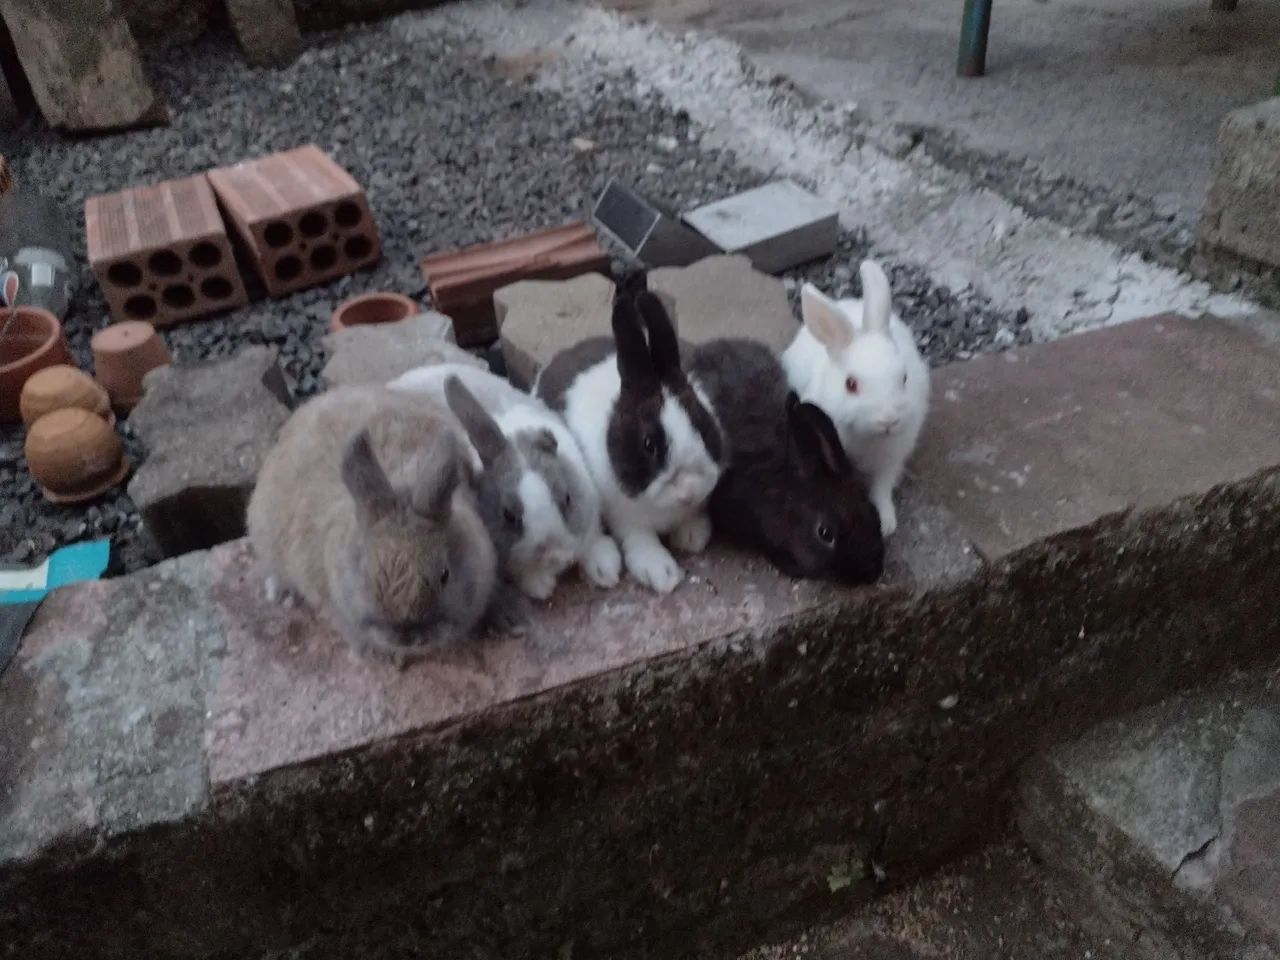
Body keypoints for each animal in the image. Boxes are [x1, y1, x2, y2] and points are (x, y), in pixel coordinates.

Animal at [388, 362, 622, 600]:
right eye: (508, 516)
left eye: (567, 498)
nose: (554, 554)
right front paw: (541, 586)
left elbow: (592, 539)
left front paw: (605, 572)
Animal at [535, 284, 724, 594]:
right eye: (649, 444)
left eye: (701, 423)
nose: (690, 488)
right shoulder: (627, 518)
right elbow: (641, 540)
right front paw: (662, 573)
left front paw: (691, 536)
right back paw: (602, 569)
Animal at [781, 258, 930, 537]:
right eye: (850, 384)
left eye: (904, 378)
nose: (889, 420)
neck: (868, 437)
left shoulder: (891, 460)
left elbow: (881, 490)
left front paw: (887, 524)